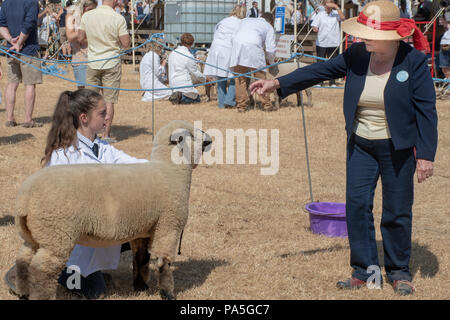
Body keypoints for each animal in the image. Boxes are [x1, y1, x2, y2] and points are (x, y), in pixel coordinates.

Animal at [13, 120, 211, 300]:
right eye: (191, 135)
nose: (209, 140)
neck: (169, 171)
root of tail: (24, 197)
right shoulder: (168, 226)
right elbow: (163, 263)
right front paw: (167, 293)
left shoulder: (143, 230)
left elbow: (141, 259)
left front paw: (140, 286)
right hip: (57, 235)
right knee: (42, 270)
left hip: (36, 235)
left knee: (23, 259)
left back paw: (22, 292)